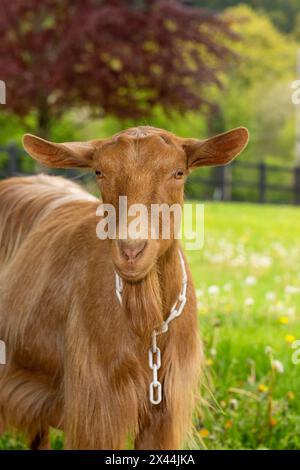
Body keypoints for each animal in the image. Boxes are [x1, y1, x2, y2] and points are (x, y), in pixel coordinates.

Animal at [0, 126, 248, 450]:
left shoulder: (163, 410)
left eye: (178, 172)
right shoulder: (96, 408)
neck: (147, 323)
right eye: (99, 171)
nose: (131, 249)